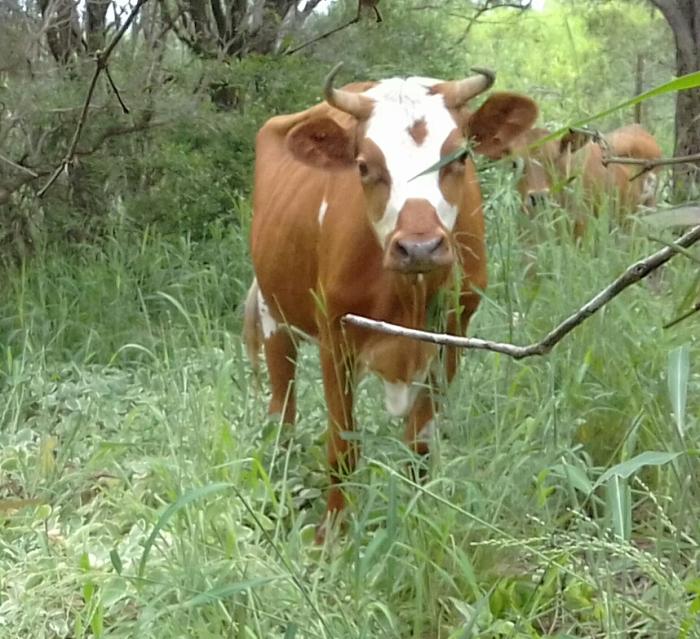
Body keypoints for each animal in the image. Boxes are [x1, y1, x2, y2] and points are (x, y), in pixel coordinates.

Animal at [244, 64, 538, 542]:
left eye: (459, 157)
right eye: (364, 166)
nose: (419, 247)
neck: (409, 294)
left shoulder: (452, 336)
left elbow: (420, 442)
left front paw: (420, 519)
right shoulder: (335, 338)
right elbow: (342, 445)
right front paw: (333, 536)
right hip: (275, 318)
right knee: (282, 412)